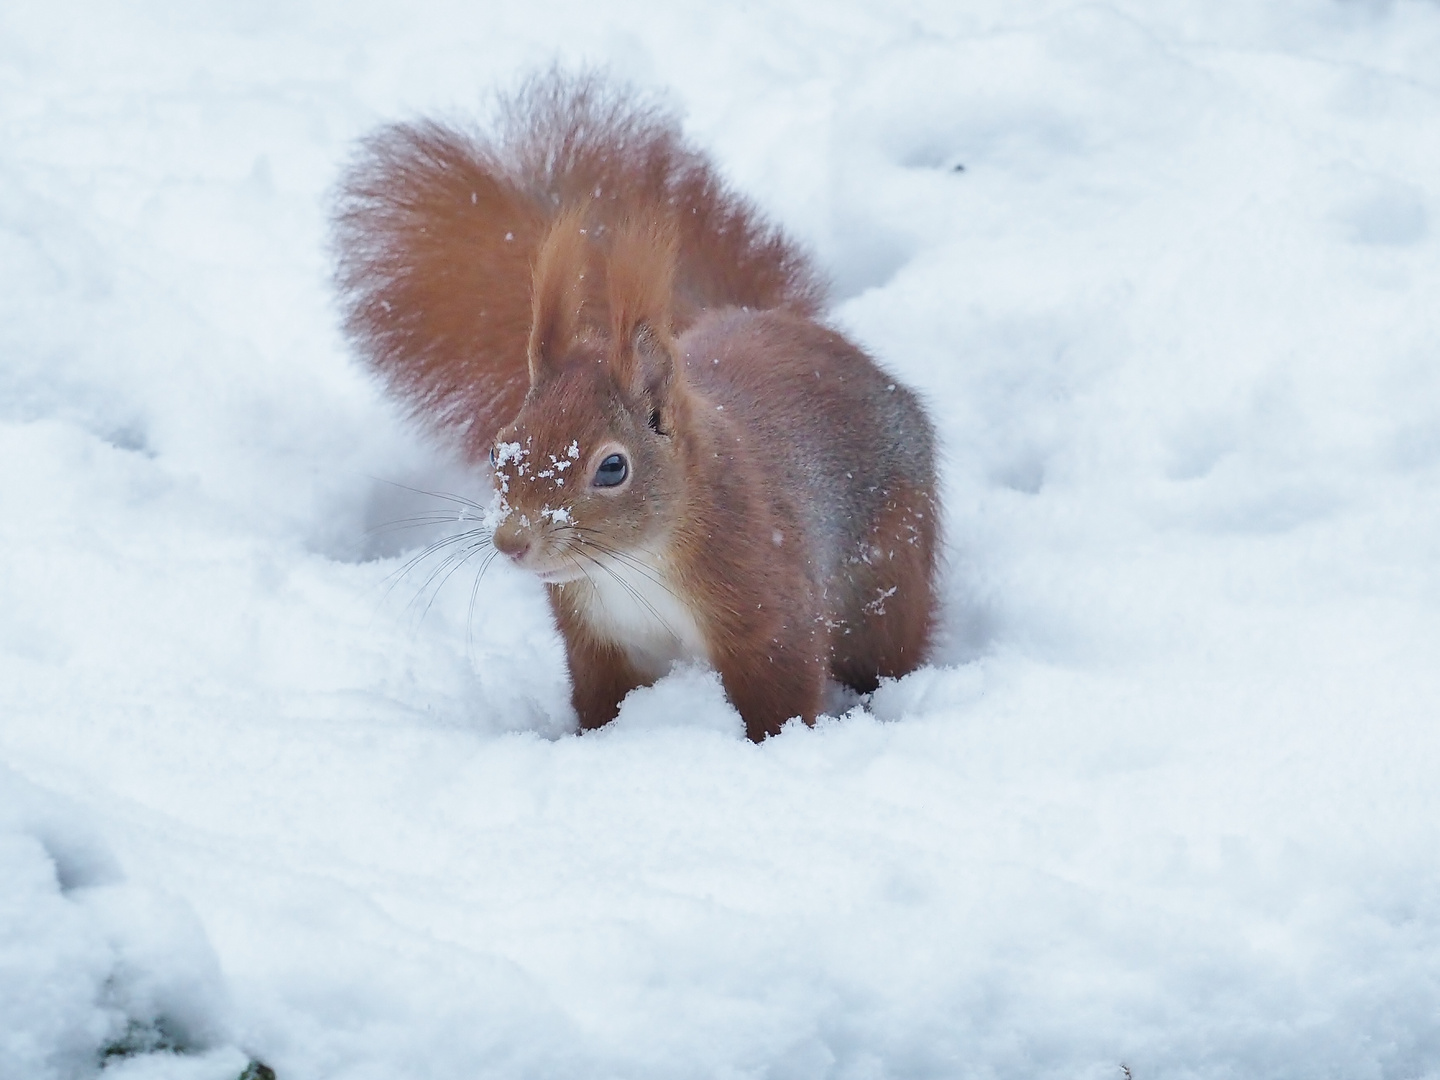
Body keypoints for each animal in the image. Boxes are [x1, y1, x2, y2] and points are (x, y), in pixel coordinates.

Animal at [336, 69, 944, 743]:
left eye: (612, 468)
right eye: (498, 450)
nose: (512, 542)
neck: (632, 566)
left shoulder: (769, 613)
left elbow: (780, 701)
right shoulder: (598, 640)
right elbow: (604, 704)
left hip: (888, 576)